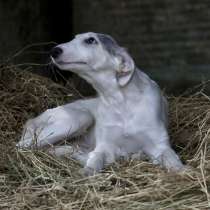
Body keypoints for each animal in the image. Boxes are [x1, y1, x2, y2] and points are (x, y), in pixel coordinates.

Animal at [17, 32, 183, 175]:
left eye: (91, 40)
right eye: (74, 38)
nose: (54, 50)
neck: (121, 103)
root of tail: (32, 120)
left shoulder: (160, 145)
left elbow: (175, 163)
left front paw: (184, 173)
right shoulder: (104, 146)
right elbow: (95, 161)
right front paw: (86, 172)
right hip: (80, 118)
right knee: (22, 146)